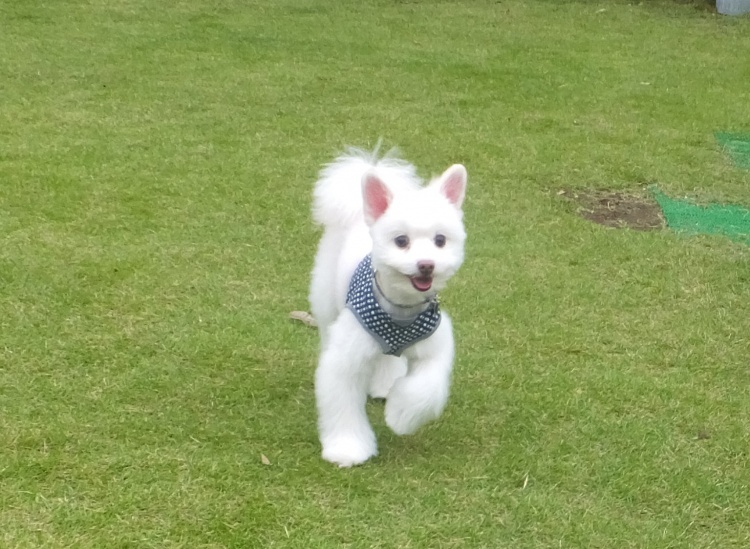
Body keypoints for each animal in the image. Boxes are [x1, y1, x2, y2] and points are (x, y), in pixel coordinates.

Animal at [309, 147, 468, 467]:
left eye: (440, 240)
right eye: (401, 241)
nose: (426, 265)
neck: (400, 313)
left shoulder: (435, 346)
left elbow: (426, 389)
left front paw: (400, 416)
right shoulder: (345, 360)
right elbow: (343, 404)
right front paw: (348, 449)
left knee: (388, 359)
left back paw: (385, 385)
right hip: (326, 302)